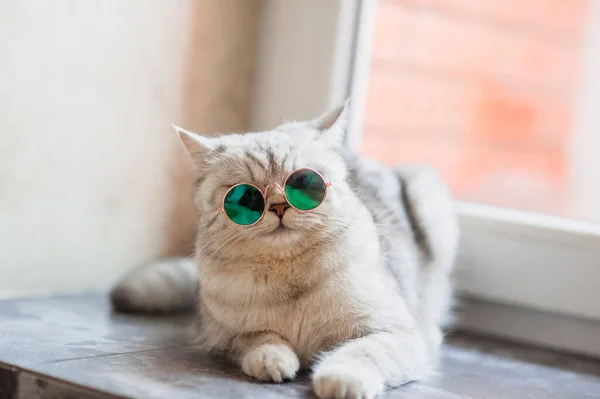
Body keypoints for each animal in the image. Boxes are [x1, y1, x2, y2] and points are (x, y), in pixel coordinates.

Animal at [111, 104, 460, 399]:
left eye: (304, 183)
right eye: (245, 197)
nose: (279, 205)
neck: (288, 274)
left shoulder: (395, 334)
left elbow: (362, 352)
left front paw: (340, 379)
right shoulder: (223, 336)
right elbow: (260, 339)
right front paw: (273, 359)